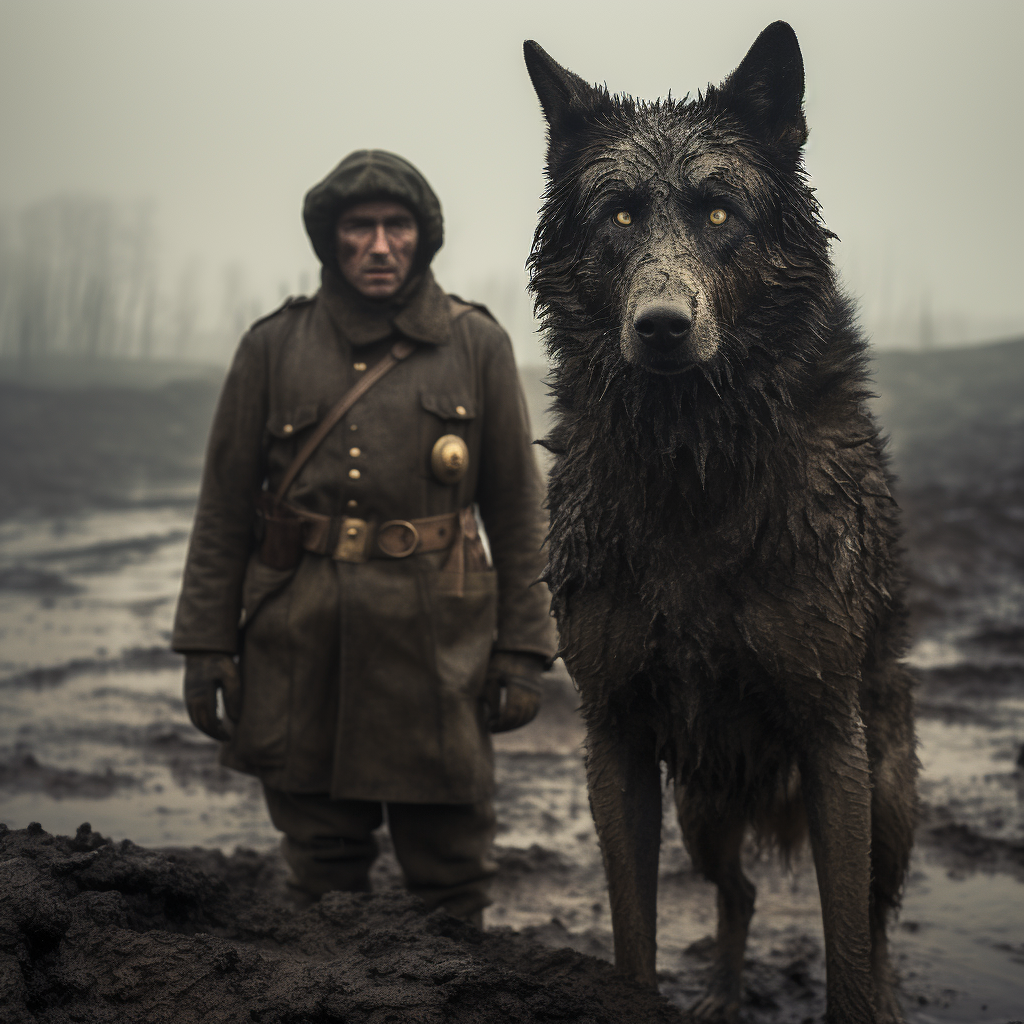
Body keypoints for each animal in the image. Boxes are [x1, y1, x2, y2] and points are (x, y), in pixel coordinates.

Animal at [524, 19, 917, 1019]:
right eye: (620, 216)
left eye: (716, 214)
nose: (662, 325)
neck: (692, 472)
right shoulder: (615, 733)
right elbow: (633, 939)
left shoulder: (830, 733)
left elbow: (847, 947)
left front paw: (859, 996)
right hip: (703, 809)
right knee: (735, 891)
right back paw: (726, 993)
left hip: (887, 793)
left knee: (877, 915)